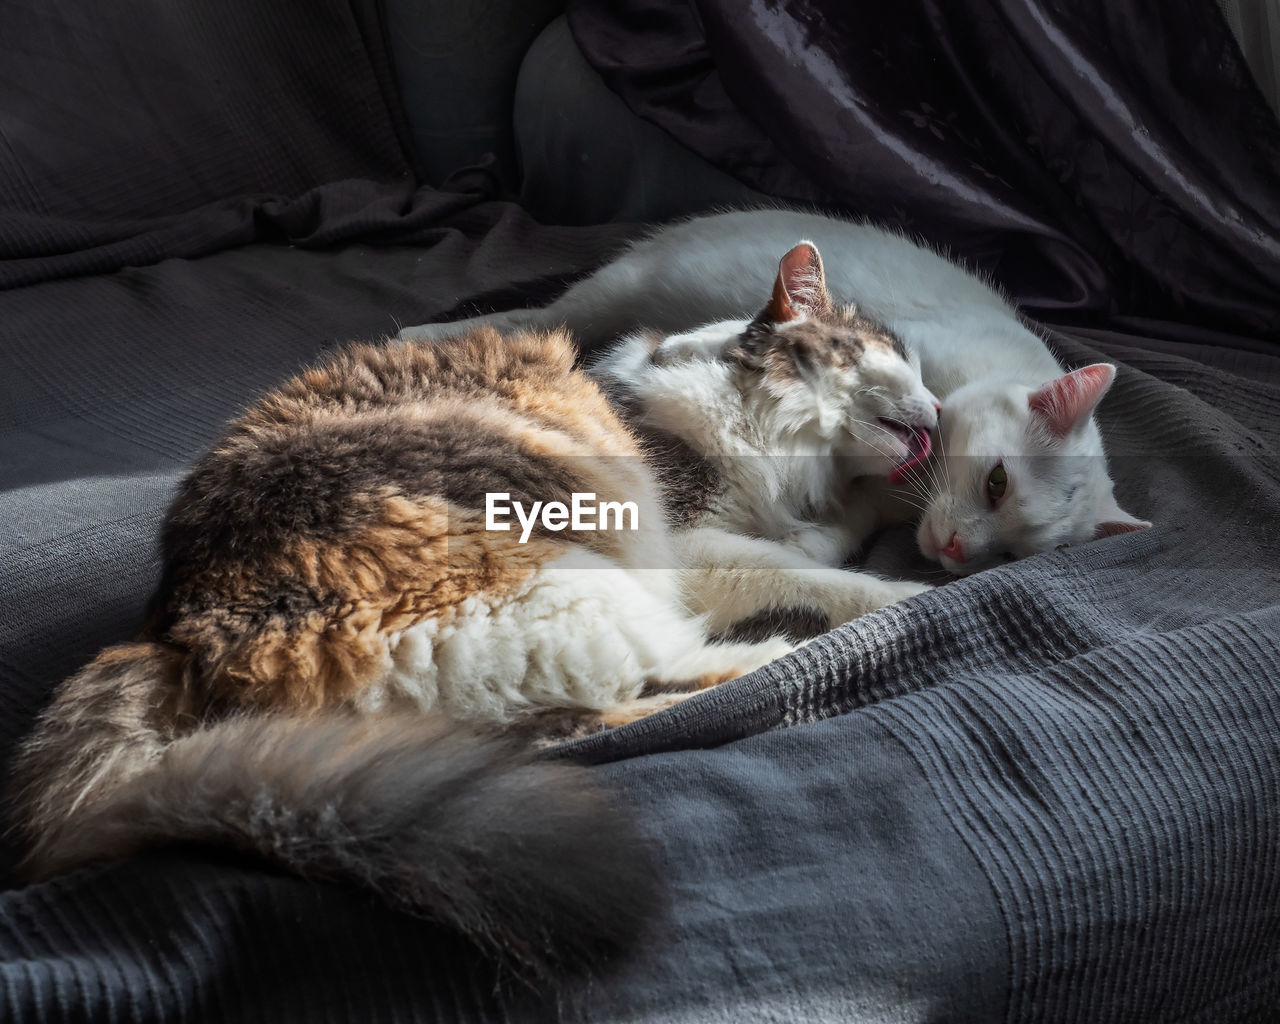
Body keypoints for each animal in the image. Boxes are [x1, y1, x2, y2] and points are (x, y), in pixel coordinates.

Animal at [7, 241, 931, 983]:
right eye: (894, 359)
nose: (936, 411)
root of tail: (172, 636)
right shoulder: (693, 533)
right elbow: (819, 571)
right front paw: (910, 595)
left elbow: (828, 536)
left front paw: (881, 520)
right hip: (565, 576)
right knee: (634, 699)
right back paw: (789, 651)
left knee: (569, 721)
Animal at [404, 207, 1157, 576]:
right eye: (997, 483)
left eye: (1011, 555)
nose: (953, 554)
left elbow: (838, 524)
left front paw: (813, 540)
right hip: (620, 289)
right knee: (542, 314)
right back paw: (429, 329)